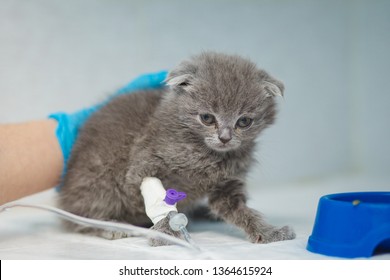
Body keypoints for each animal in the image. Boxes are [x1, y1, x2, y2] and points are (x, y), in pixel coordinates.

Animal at [59, 52, 294, 245]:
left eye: (244, 121)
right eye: (207, 118)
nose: (225, 138)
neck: (207, 154)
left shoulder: (227, 186)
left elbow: (242, 211)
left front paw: (269, 231)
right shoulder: (142, 166)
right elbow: (161, 200)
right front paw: (166, 231)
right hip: (99, 183)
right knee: (76, 220)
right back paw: (110, 227)